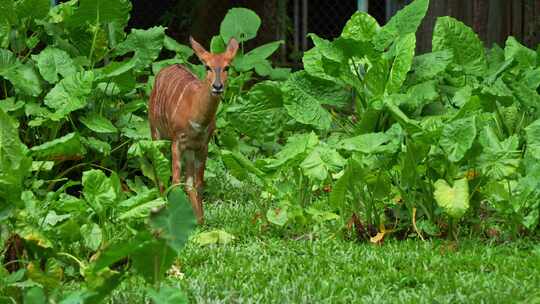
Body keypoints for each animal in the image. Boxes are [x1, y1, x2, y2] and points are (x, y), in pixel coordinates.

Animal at [149, 36, 239, 224]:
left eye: (227, 67)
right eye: (207, 66)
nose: (217, 86)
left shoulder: (202, 145)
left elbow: (198, 183)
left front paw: (201, 221)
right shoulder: (177, 141)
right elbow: (175, 181)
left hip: (189, 149)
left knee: (189, 181)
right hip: (155, 132)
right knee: (159, 172)